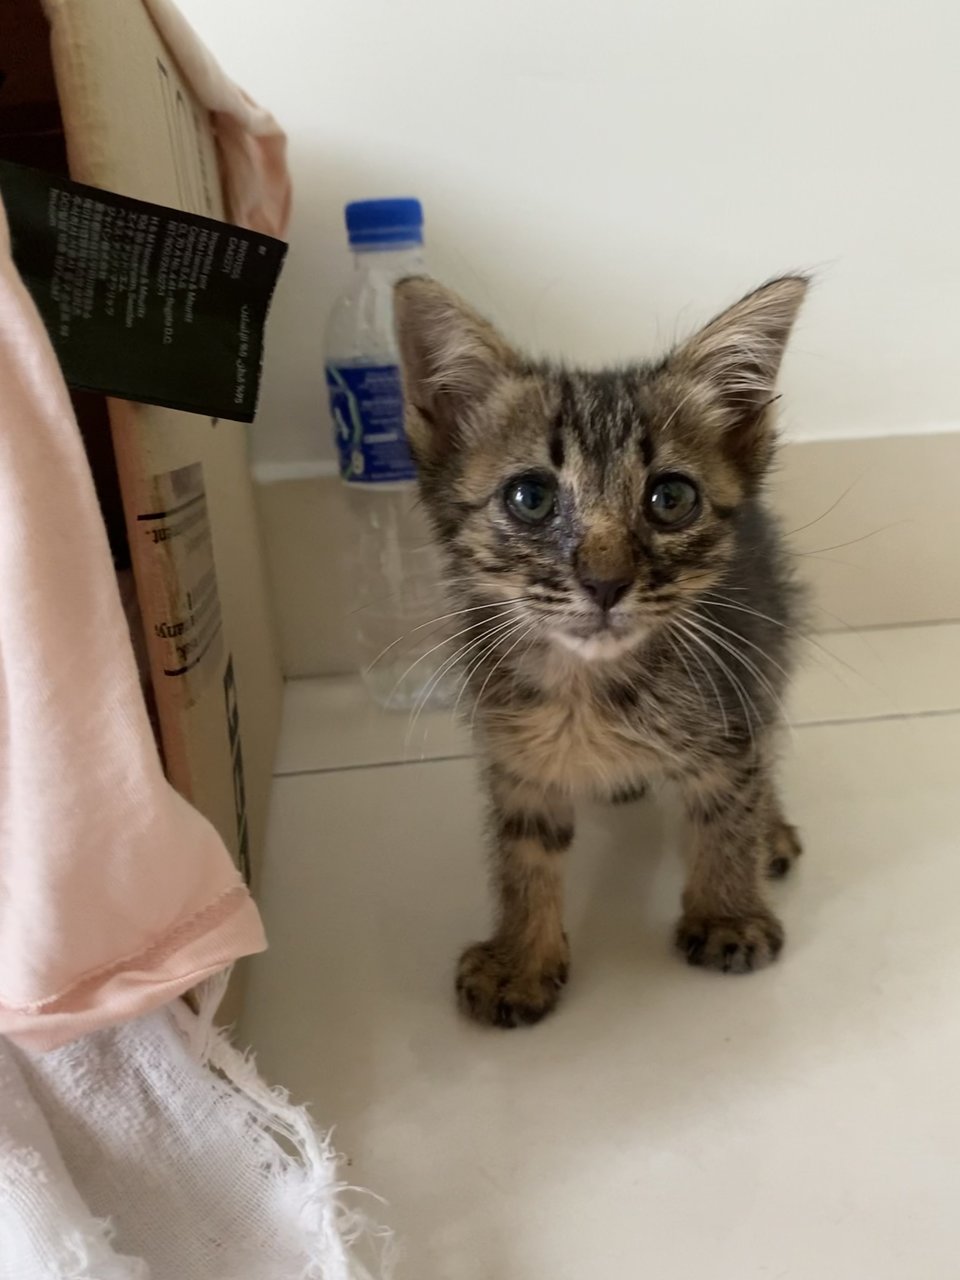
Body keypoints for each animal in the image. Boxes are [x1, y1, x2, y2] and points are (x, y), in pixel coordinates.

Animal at [394, 272, 808, 1029]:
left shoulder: (730, 702)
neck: (589, 688)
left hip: (769, 642)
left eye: (671, 497)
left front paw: (728, 913)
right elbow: (523, 853)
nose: (606, 582)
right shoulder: (515, 753)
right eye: (530, 497)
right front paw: (521, 959)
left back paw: (771, 830)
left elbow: (727, 810)